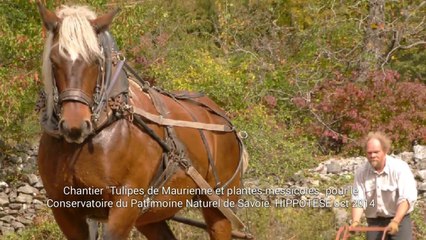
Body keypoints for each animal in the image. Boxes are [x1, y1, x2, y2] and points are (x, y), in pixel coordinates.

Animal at [36, 2, 246, 240]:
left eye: (95, 60)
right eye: (54, 61)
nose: (74, 126)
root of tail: (225, 120)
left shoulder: (125, 204)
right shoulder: (64, 211)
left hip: (219, 207)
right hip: (151, 216)